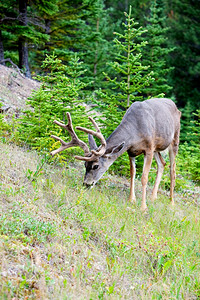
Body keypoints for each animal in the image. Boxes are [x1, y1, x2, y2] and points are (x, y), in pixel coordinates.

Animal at [50, 98, 181, 211]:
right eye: (85, 165)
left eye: (96, 166)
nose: (86, 184)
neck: (135, 132)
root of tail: (175, 106)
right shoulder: (131, 151)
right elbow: (132, 174)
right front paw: (131, 200)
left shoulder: (149, 148)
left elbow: (144, 177)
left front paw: (143, 207)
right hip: (157, 147)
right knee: (162, 163)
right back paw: (153, 197)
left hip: (174, 139)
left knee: (172, 170)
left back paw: (171, 202)